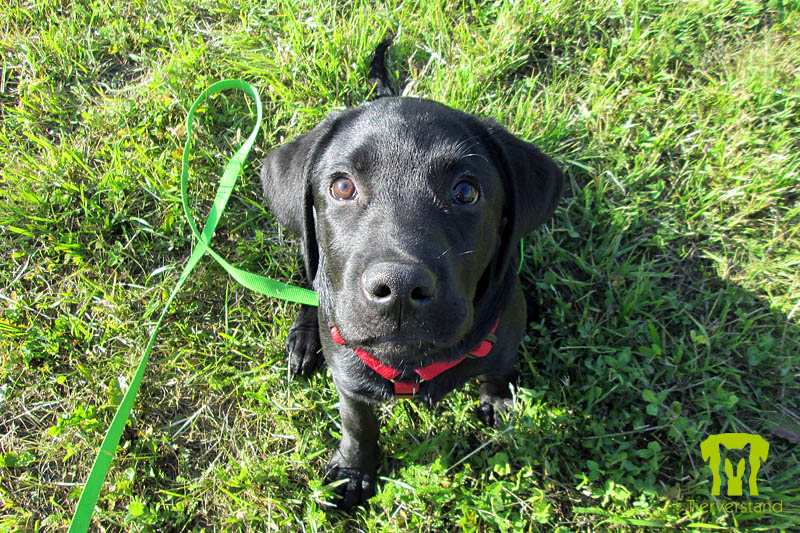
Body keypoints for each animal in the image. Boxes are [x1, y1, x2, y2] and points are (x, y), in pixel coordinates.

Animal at [260, 38, 560, 508]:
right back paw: (305, 337)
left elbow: (496, 370)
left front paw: (500, 402)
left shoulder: (501, 341)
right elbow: (357, 423)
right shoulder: (349, 378)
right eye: (342, 186)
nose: (399, 288)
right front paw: (354, 471)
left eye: (465, 191)